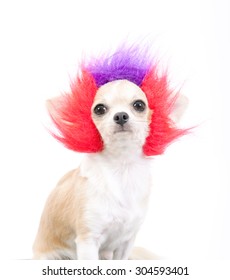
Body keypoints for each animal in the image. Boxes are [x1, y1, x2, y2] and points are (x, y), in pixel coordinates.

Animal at [31, 44, 187, 260]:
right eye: (99, 109)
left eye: (139, 105)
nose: (120, 116)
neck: (122, 168)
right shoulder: (88, 240)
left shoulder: (126, 242)